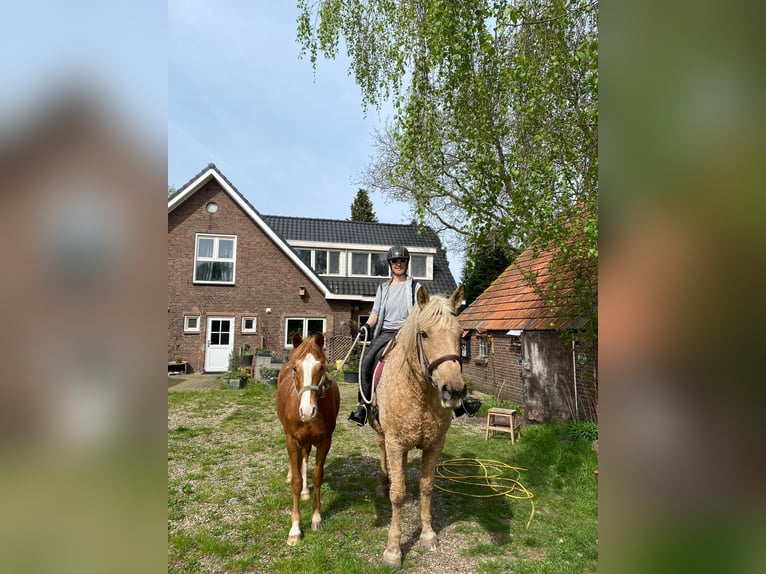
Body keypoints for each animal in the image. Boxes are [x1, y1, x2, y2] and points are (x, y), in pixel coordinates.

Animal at [274, 330, 338, 548]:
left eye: (322, 367)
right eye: (296, 368)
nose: (307, 411)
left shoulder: (325, 440)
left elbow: (317, 476)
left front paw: (316, 518)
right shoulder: (292, 440)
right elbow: (295, 480)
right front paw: (295, 530)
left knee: (305, 457)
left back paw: (305, 491)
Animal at [368, 284, 464, 572]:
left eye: (460, 333)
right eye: (424, 333)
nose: (454, 391)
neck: (419, 391)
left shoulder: (434, 445)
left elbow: (427, 487)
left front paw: (428, 535)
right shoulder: (395, 442)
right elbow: (396, 495)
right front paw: (393, 550)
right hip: (383, 434)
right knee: (382, 452)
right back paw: (381, 483)